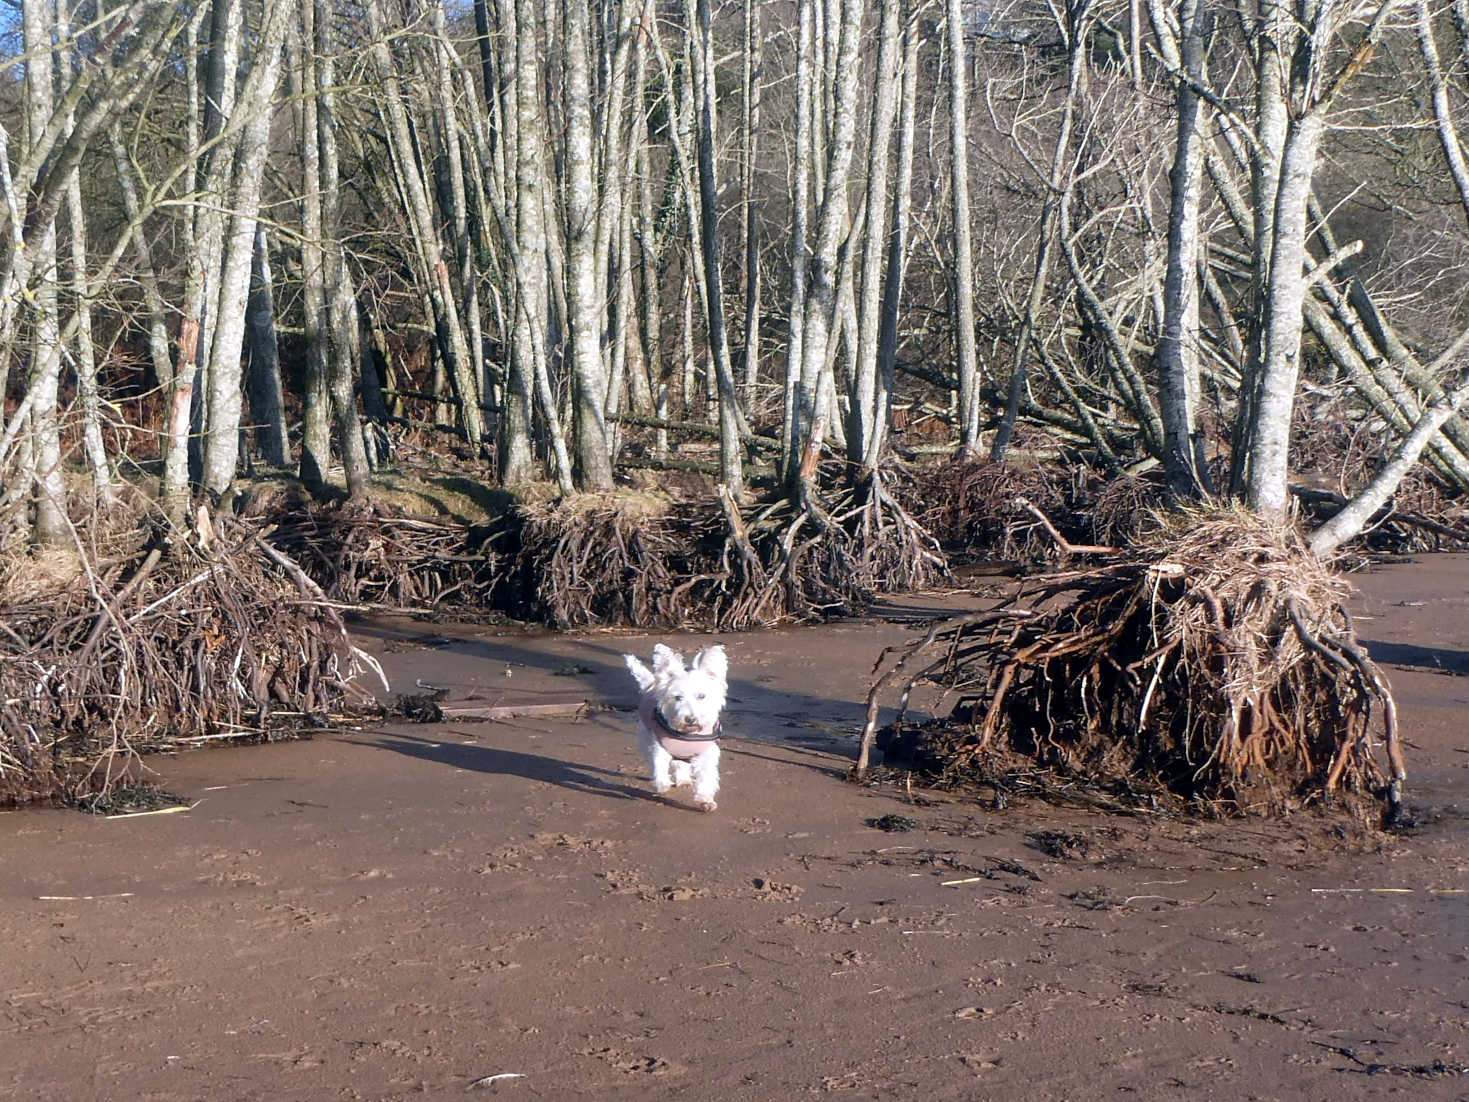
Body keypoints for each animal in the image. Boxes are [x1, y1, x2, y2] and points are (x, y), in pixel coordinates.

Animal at [625, 646, 728, 811]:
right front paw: (662, 785)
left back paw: (684, 780)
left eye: (701, 696)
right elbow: (659, 765)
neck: (687, 734)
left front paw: (705, 799)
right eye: (678, 697)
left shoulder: (706, 754)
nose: (690, 719)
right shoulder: (660, 747)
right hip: (645, 738)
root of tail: (651, 685)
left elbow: (705, 776)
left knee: (681, 764)